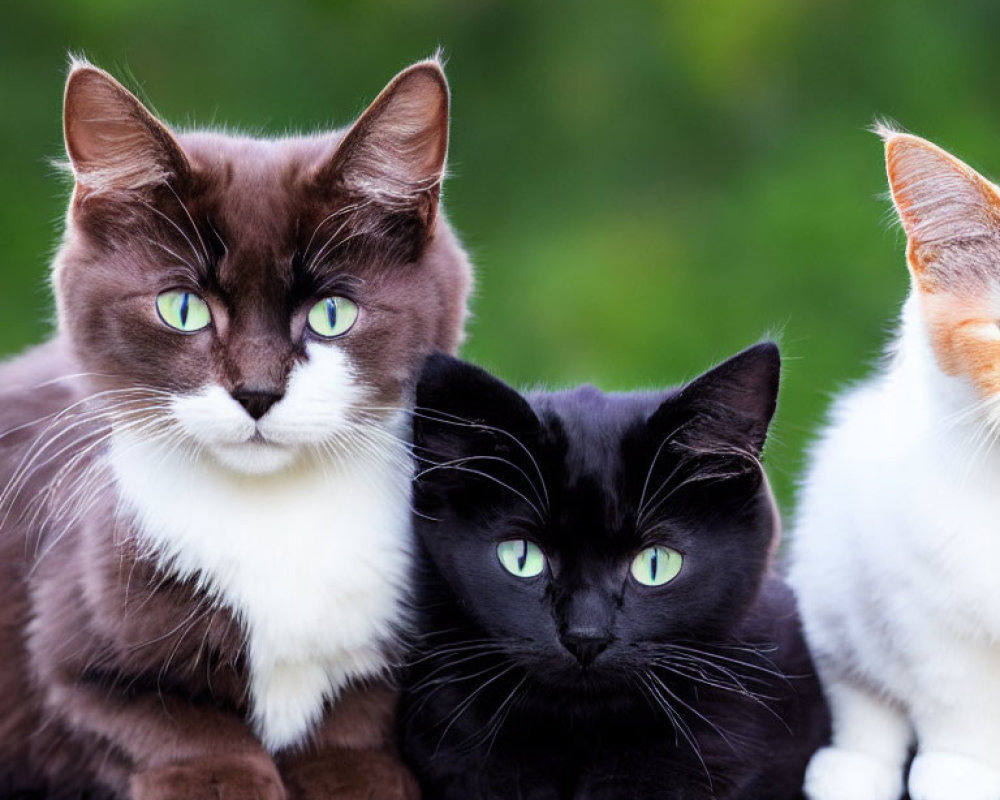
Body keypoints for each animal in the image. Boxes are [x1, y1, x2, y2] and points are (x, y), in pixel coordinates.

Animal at [0, 57, 472, 800]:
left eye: (332, 314)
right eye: (183, 308)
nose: (256, 392)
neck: (273, 516)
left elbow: (356, 730)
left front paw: (352, 770)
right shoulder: (73, 627)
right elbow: (157, 717)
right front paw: (217, 775)